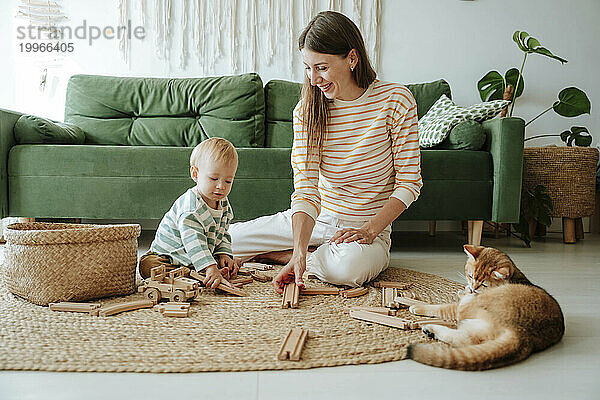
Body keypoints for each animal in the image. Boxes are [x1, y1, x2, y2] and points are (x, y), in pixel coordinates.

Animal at [408, 245, 564, 370]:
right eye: (470, 276)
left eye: (483, 284)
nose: (473, 287)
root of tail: (522, 333)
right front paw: (463, 290)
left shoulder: (463, 305)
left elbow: (441, 308)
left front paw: (416, 306)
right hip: (478, 331)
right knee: (463, 339)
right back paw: (431, 331)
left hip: (470, 311)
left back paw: (430, 328)